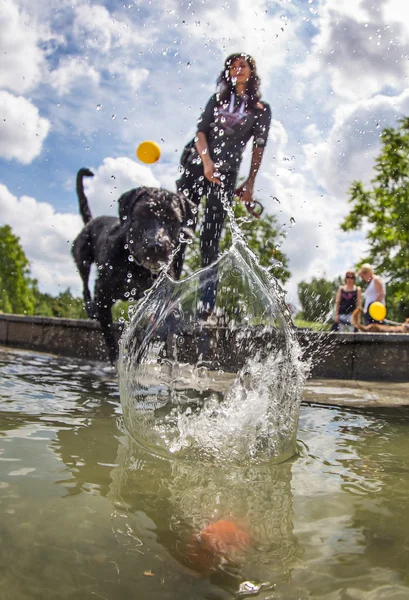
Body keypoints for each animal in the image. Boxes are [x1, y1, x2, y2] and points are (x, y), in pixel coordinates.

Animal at [71, 166, 194, 364]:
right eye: (142, 214)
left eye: (173, 220)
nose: (156, 245)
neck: (136, 267)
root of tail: (91, 220)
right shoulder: (104, 295)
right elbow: (110, 337)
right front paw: (116, 361)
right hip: (82, 257)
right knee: (85, 284)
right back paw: (90, 307)